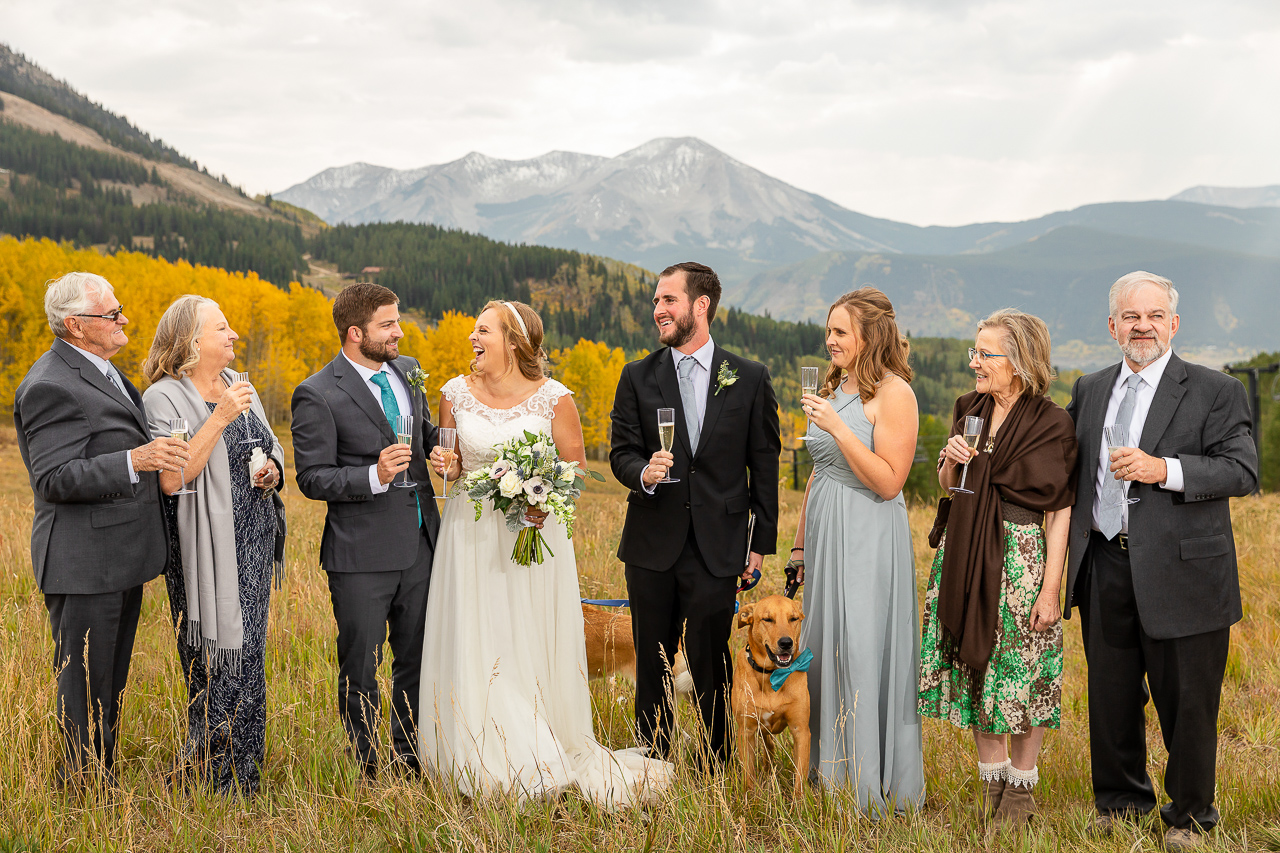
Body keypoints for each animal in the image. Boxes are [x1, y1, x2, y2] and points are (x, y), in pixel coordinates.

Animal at [732, 594, 808, 794]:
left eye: (793, 618)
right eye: (767, 619)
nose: (786, 643)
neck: (771, 675)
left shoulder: (800, 730)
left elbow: (800, 778)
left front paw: (799, 801)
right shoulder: (746, 730)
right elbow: (748, 775)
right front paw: (750, 799)